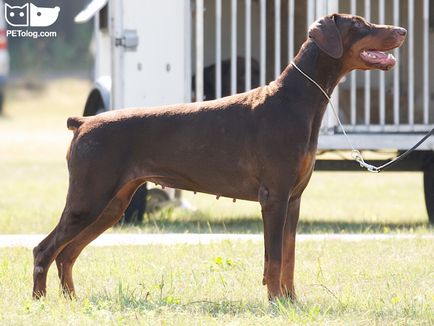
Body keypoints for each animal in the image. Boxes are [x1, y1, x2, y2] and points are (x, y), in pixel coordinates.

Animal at [32, 14, 406, 300]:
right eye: (359, 24)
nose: (402, 30)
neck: (296, 100)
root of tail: (83, 122)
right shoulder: (274, 197)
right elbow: (274, 258)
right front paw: (275, 302)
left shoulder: (294, 199)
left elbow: (288, 257)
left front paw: (291, 300)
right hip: (89, 198)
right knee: (45, 250)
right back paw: (40, 301)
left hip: (112, 204)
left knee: (67, 254)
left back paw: (72, 300)